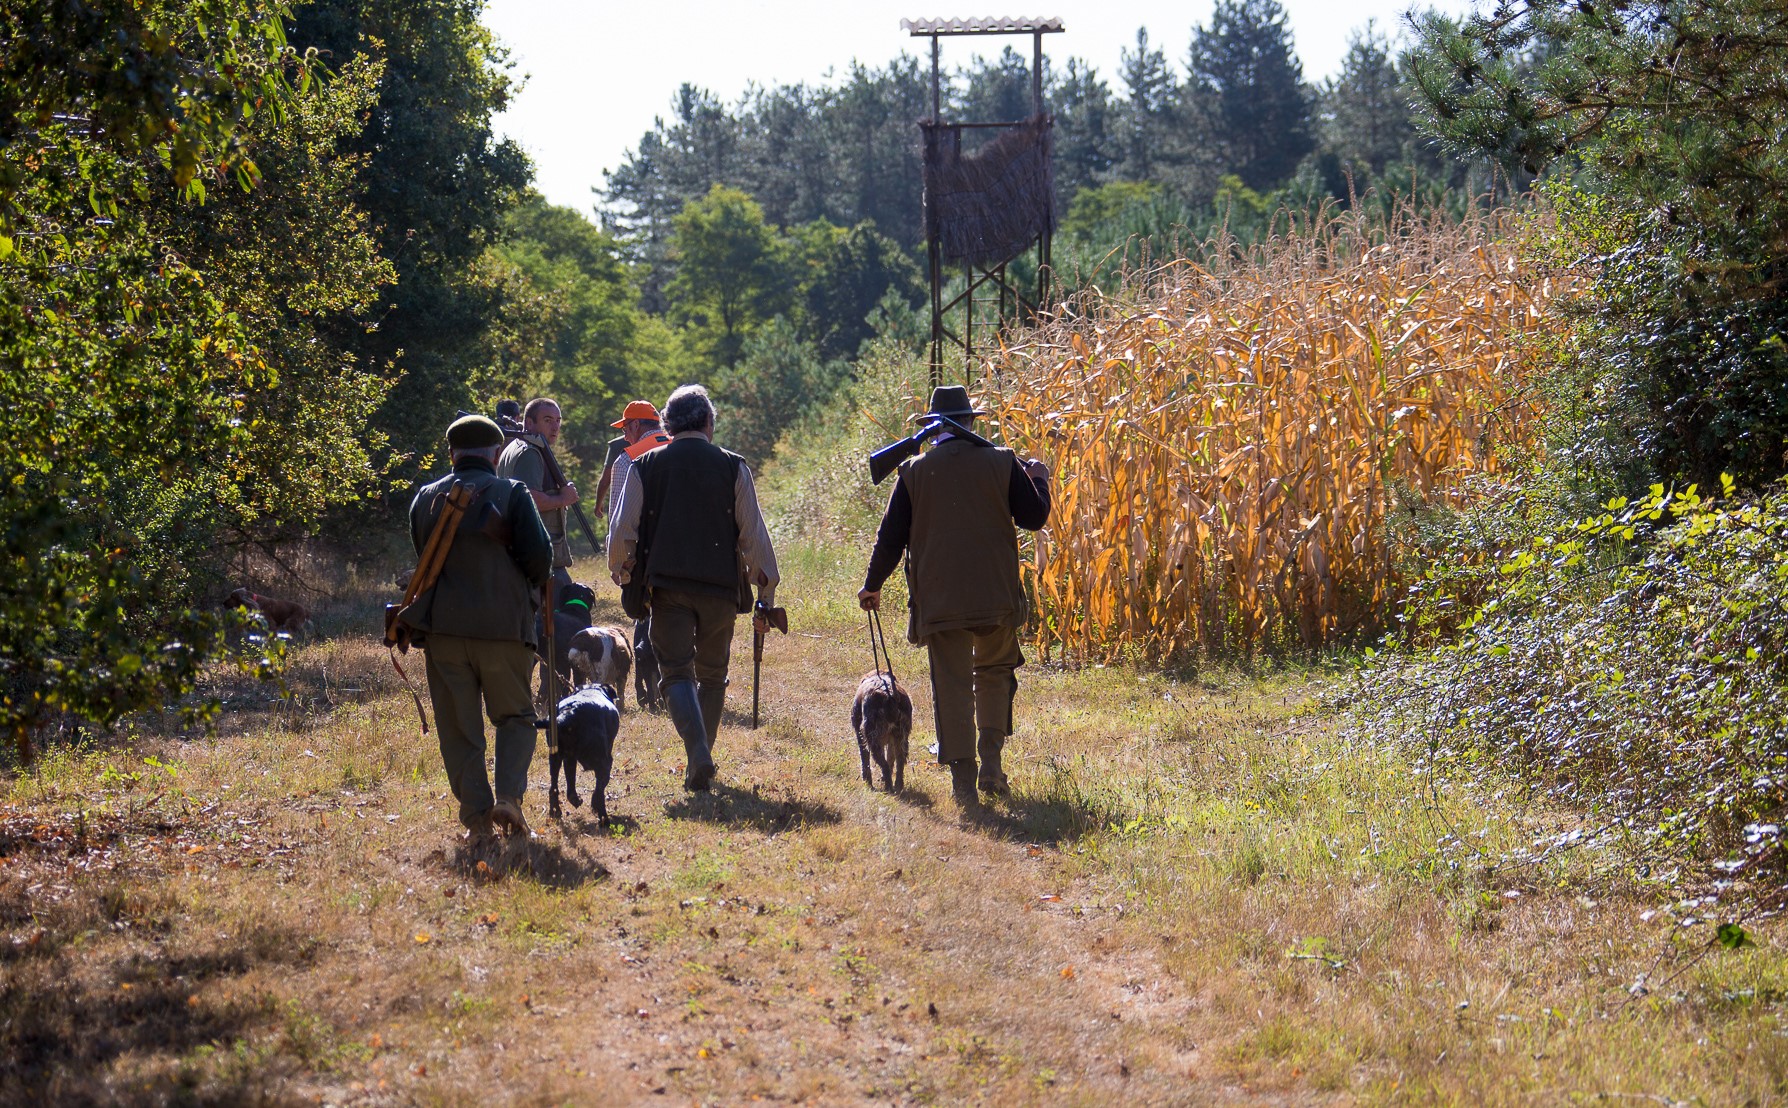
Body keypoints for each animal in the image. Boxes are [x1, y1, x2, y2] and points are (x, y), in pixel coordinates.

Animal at [547, 679, 618, 825]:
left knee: (554, 789)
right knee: (600, 793)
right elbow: (598, 790)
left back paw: (556, 811)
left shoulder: (569, 760)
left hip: (555, 759)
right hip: (603, 763)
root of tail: (568, 713)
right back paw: (604, 819)